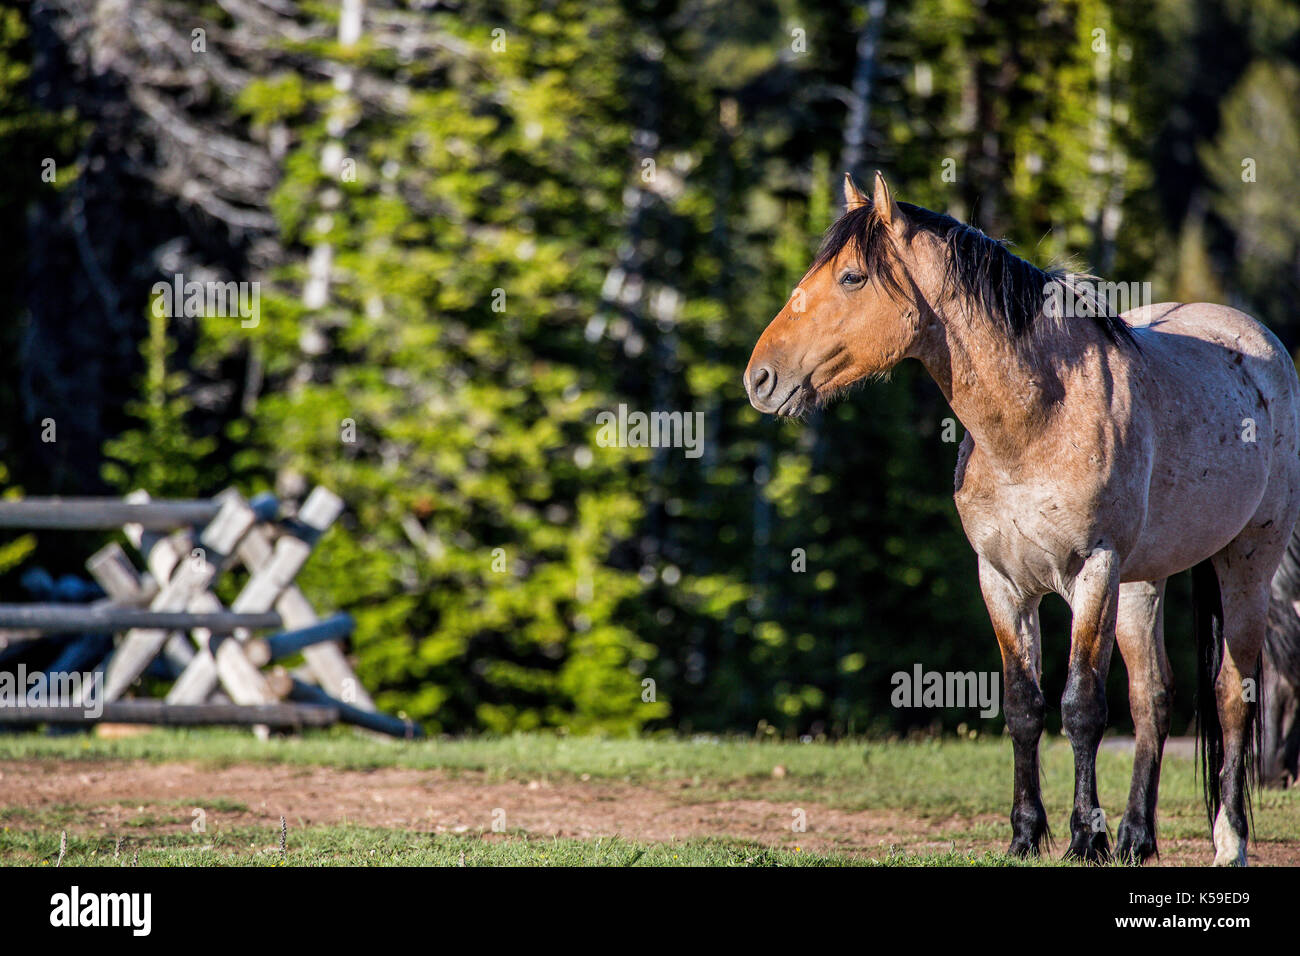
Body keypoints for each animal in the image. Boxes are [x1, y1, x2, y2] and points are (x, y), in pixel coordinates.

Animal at [744, 172, 1300, 865]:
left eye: (850, 277)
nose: (760, 378)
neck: (1035, 420)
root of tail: (1260, 342)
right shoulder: (1002, 581)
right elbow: (1024, 705)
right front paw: (1026, 833)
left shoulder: (1093, 571)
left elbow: (1082, 706)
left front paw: (1083, 836)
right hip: (1143, 582)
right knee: (1153, 697)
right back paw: (1135, 837)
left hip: (1246, 564)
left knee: (1231, 695)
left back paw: (1229, 840)